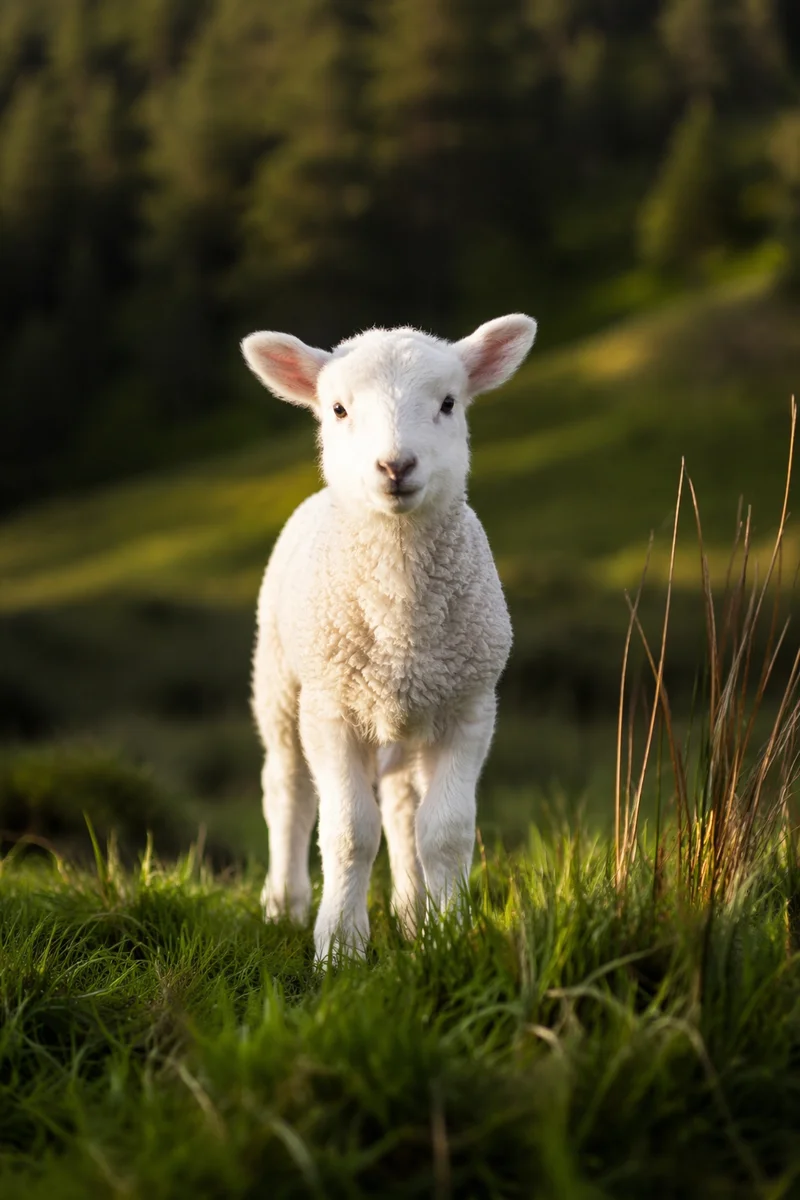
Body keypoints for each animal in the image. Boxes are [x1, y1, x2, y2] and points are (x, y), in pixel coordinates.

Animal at [241, 314, 537, 959]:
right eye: (338, 409)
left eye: (449, 403)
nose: (395, 467)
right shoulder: (331, 710)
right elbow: (349, 832)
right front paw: (339, 949)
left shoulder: (470, 706)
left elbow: (445, 832)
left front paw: (450, 937)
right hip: (279, 681)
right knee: (287, 792)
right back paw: (285, 905)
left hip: (407, 714)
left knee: (403, 809)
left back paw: (411, 913)